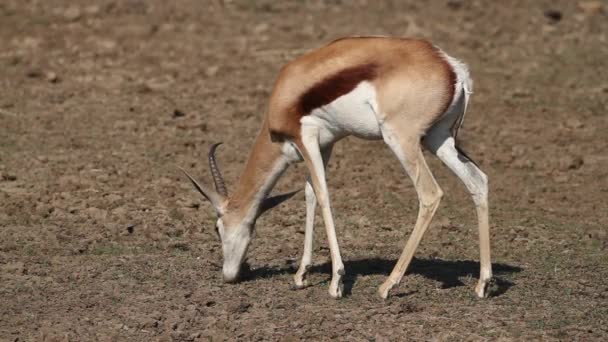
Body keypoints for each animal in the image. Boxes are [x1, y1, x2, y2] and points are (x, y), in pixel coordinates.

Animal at [180, 36, 494, 300]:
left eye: (217, 227)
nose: (228, 275)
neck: (287, 92)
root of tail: (451, 67)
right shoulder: (326, 144)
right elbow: (309, 195)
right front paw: (301, 275)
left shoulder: (305, 137)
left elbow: (323, 195)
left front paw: (336, 282)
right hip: (439, 139)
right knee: (478, 181)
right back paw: (483, 284)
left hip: (402, 140)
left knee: (430, 194)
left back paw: (387, 285)